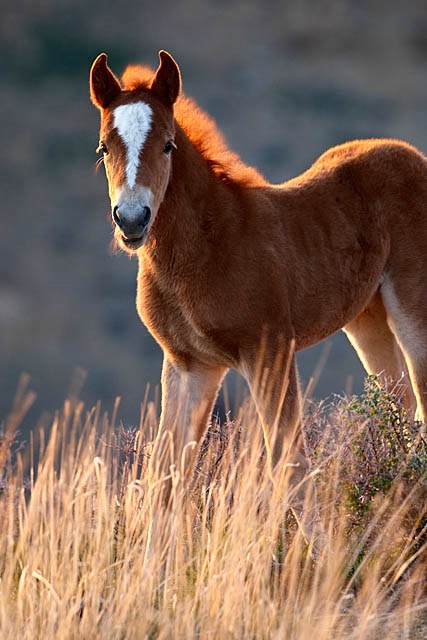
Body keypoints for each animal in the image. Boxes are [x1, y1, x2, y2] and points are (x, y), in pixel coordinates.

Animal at [90, 51, 427, 496]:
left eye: (167, 145)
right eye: (104, 147)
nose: (132, 219)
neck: (206, 247)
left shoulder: (271, 350)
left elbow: (291, 466)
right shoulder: (188, 363)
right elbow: (166, 474)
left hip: (412, 304)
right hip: (366, 318)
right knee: (398, 402)